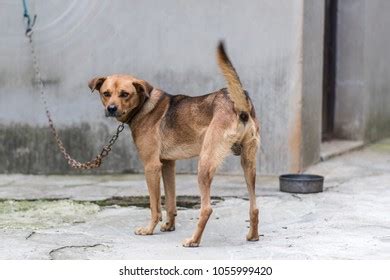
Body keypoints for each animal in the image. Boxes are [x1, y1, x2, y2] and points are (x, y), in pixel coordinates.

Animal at [88, 42, 258, 247]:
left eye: (125, 94)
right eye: (106, 94)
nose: (111, 109)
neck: (144, 105)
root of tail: (239, 105)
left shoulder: (151, 166)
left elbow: (154, 205)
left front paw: (149, 230)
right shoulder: (168, 164)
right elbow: (170, 201)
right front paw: (169, 225)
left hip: (204, 164)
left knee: (207, 208)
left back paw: (193, 240)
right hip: (248, 164)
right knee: (254, 207)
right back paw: (253, 236)